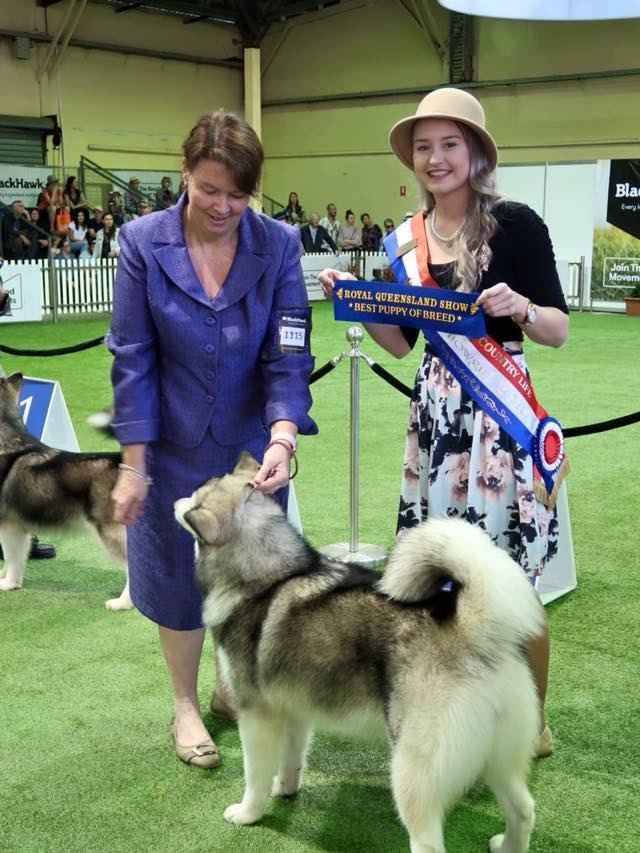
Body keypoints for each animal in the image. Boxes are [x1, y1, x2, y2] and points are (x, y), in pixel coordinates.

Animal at [0, 376, 131, 608]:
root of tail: (118, 459)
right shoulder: (17, 526)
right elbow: (13, 559)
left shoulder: (8, 525)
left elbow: (12, 557)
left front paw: (9, 583)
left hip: (108, 529)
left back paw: (122, 603)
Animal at [176, 456, 544, 848]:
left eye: (195, 498)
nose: (176, 500)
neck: (269, 577)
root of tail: (471, 625)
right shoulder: (295, 710)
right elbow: (292, 760)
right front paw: (286, 789)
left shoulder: (257, 715)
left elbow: (254, 775)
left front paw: (249, 814)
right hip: (500, 755)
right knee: (524, 810)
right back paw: (507, 845)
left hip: (413, 770)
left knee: (429, 839)